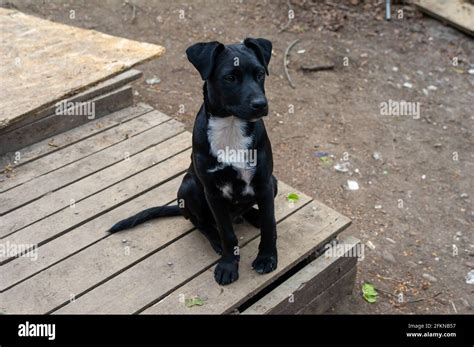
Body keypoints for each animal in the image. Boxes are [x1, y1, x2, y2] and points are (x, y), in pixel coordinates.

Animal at [108, 38, 278, 286]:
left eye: (259, 74)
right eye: (230, 78)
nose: (261, 104)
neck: (231, 128)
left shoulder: (264, 183)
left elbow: (269, 224)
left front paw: (266, 257)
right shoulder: (213, 193)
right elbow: (227, 233)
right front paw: (228, 264)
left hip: (273, 183)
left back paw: (253, 215)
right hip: (188, 188)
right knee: (199, 222)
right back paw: (214, 238)